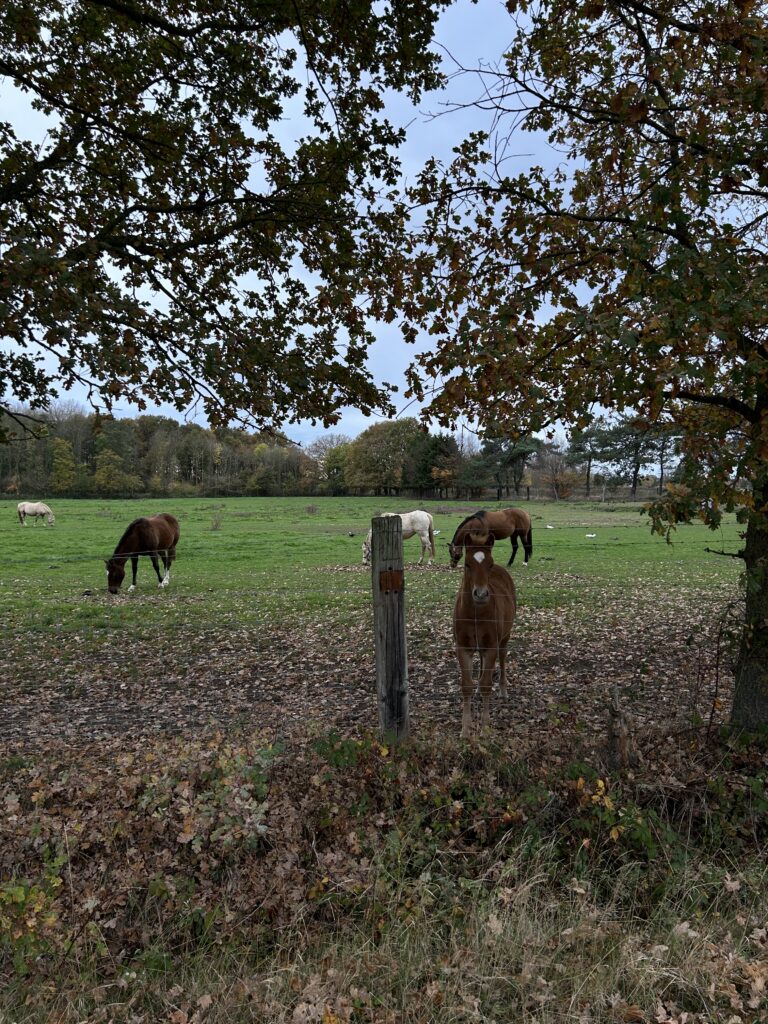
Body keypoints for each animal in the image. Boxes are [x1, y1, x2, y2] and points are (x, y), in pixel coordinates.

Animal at [453, 530, 517, 738]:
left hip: (504, 637)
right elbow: (467, 685)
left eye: (489, 563)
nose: (480, 594)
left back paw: (503, 689)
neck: (475, 614)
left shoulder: (491, 647)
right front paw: (465, 729)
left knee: (503, 657)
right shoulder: (463, 647)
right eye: (467, 564)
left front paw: (486, 727)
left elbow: (487, 685)